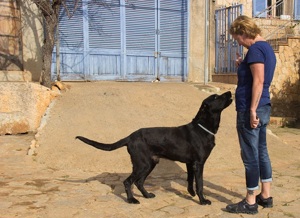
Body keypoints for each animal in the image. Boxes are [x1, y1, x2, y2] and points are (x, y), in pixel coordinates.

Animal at [75, 91, 232, 205]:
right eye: (216, 97)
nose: (230, 92)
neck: (203, 128)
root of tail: (130, 137)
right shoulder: (199, 163)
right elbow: (200, 183)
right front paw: (203, 200)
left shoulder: (190, 163)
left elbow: (190, 180)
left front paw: (191, 193)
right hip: (142, 164)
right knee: (128, 181)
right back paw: (132, 200)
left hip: (150, 163)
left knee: (138, 182)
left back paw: (147, 195)